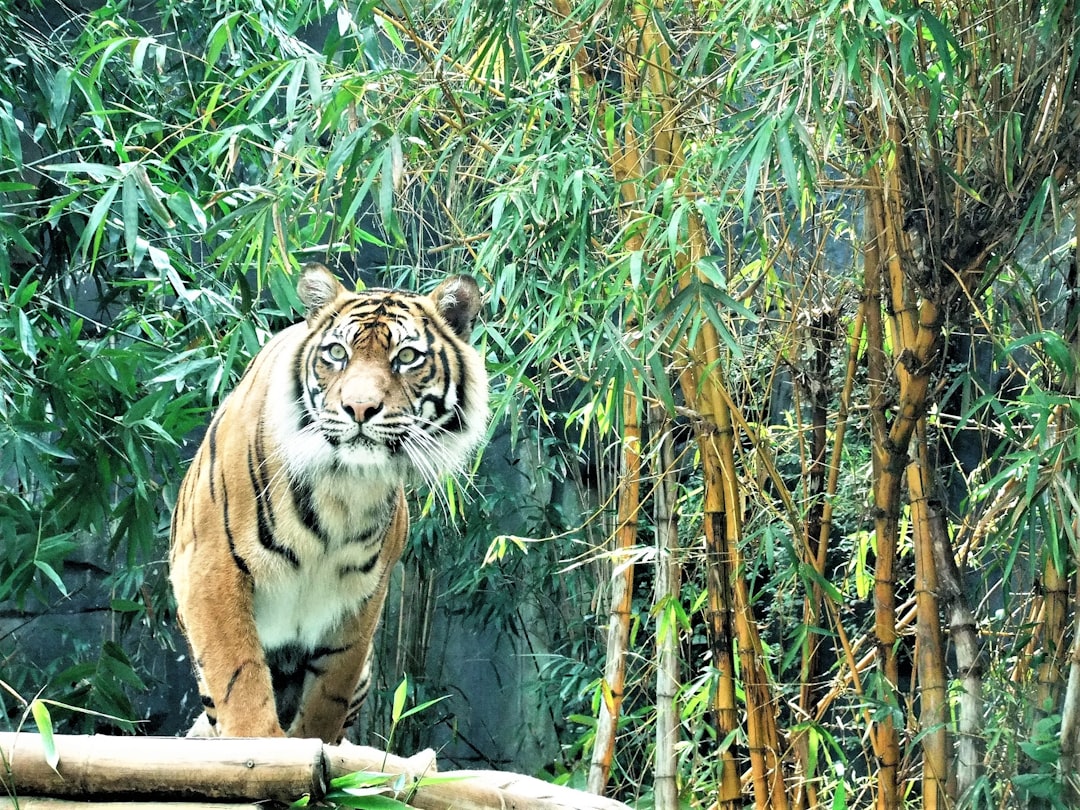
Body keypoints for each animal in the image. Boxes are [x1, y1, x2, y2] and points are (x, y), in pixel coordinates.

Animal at [168, 263, 489, 744]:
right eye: (337, 353)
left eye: (407, 357)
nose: (359, 408)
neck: (345, 485)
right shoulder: (210, 564)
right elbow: (238, 675)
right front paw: (260, 745)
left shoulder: (361, 596)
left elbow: (328, 694)